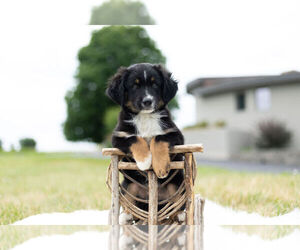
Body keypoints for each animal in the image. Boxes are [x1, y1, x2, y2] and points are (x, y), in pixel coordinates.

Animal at [105, 63, 185, 225]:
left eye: (155, 84)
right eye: (134, 86)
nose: (147, 101)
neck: (145, 117)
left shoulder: (175, 134)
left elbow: (158, 138)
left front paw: (160, 167)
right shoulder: (119, 137)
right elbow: (136, 138)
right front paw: (145, 161)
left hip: (176, 184)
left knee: (175, 205)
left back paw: (179, 215)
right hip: (128, 186)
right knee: (133, 207)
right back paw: (126, 216)